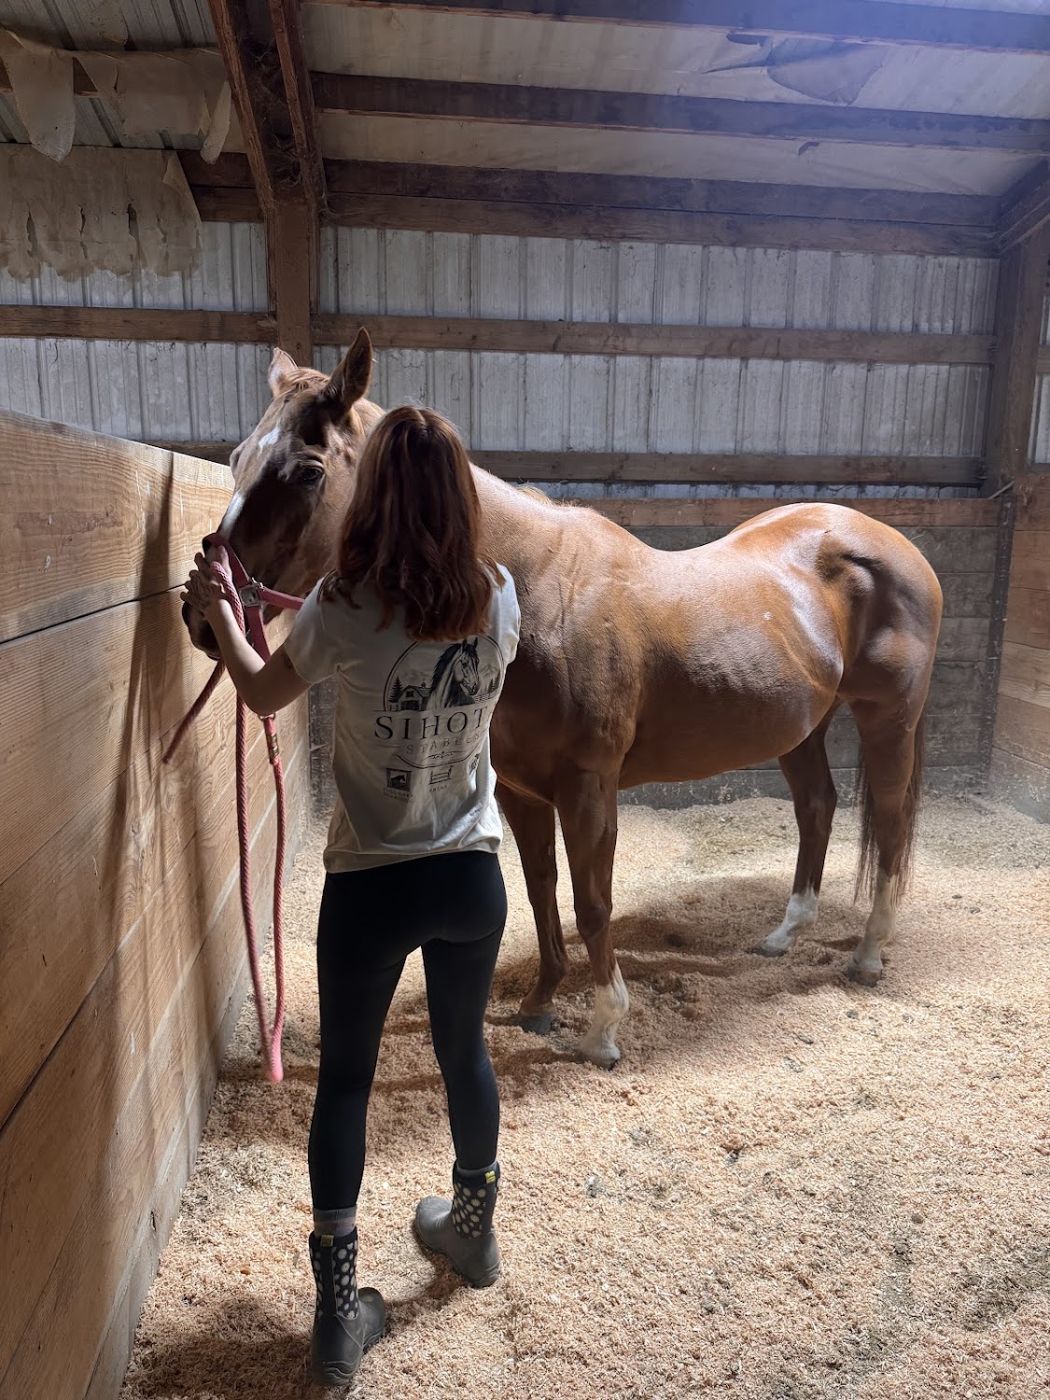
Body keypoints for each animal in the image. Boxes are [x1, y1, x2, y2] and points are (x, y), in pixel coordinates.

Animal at [183, 331, 943, 1067]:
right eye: (238, 458)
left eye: (309, 470)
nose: (203, 618)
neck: (538, 596)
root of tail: (892, 544)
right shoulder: (523, 788)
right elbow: (542, 891)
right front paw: (540, 1002)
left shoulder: (587, 786)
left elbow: (592, 901)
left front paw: (604, 1030)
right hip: (801, 728)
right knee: (817, 807)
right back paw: (786, 934)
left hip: (888, 720)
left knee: (890, 821)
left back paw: (870, 953)